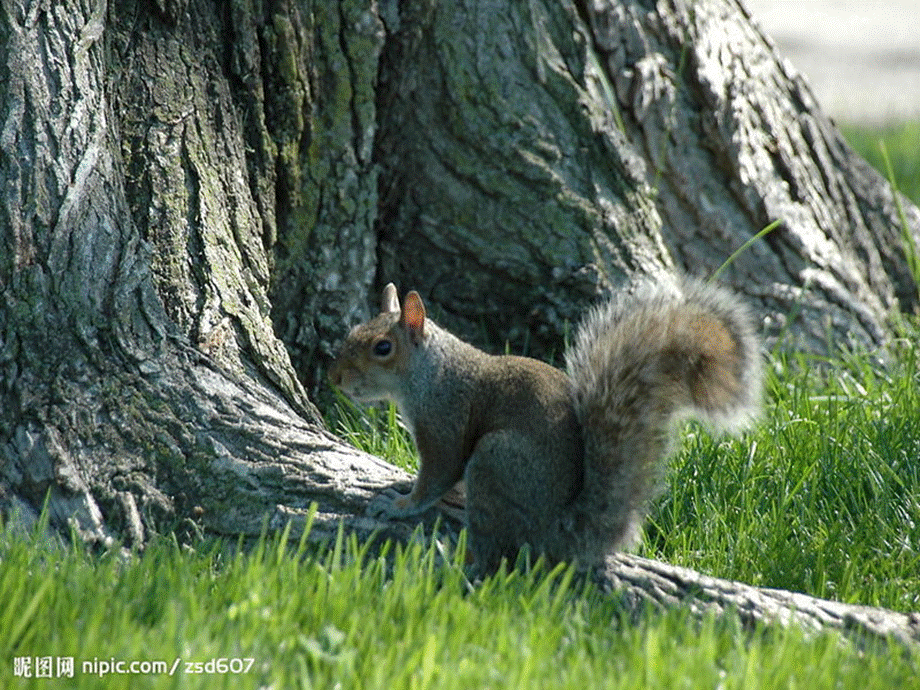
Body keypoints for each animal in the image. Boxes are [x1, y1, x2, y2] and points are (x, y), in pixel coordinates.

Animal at [330, 276, 760, 572]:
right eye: (352, 332)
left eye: (382, 348)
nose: (336, 378)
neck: (430, 372)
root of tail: (559, 532)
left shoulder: (444, 422)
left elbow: (437, 475)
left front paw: (401, 505)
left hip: (495, 460)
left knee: (497, 550)